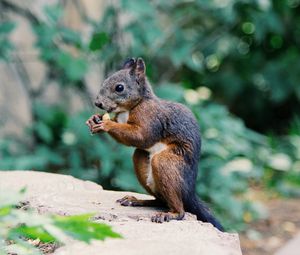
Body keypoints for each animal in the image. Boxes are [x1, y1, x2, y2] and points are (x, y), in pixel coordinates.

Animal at [86, 57, 223, 231]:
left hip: (167, 163)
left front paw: (106, 124)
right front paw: (94, 119)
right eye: (104, 81)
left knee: (179, 210)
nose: (98, 103)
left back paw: (171, 214)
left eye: (119, 88)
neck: (131, 107)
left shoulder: (150, 117)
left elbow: (141, 136)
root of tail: (190, 192)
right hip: (142, 160)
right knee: (159, 200)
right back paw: (136, 200)